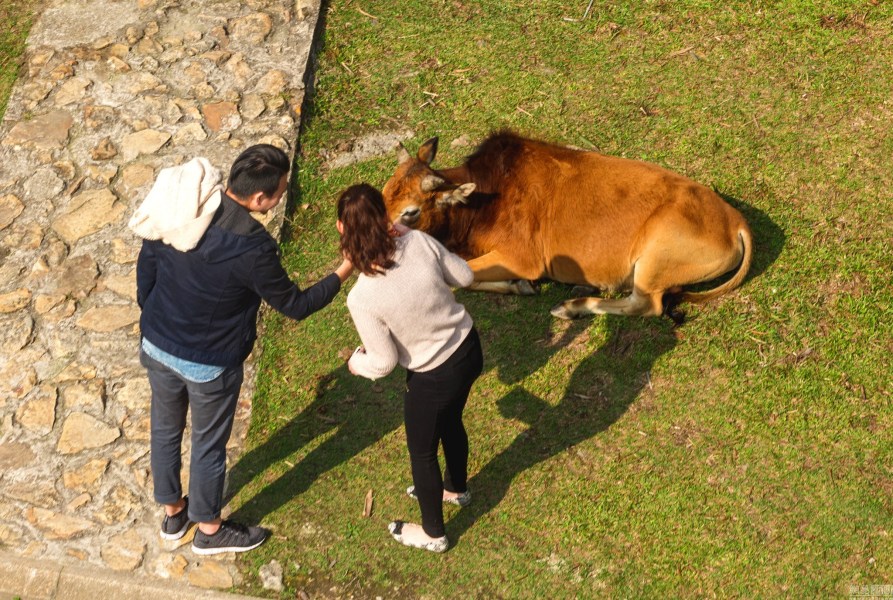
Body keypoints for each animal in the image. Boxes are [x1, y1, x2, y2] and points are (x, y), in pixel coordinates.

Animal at [380, 131, 748, 318]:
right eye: (383, 194)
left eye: (410, 212)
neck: (487, 196)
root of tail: (735, 221)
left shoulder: (523, 259)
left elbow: (461, 280)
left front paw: (520, 286)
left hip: (652, 262)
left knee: (648, 306)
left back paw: (572, 307)